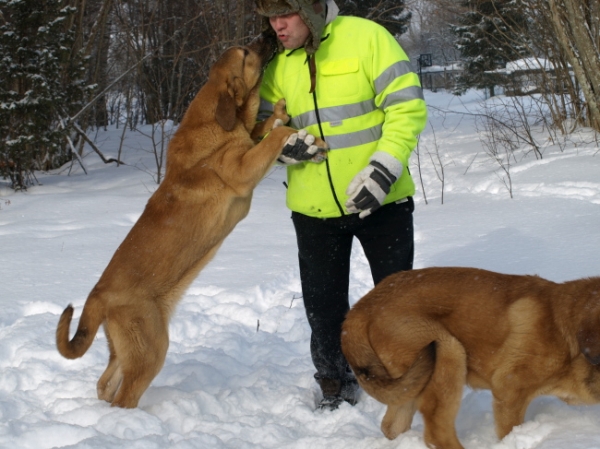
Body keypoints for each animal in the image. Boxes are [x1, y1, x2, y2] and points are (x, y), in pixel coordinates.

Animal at [55, 33, 328, 408]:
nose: (269, 34)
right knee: (123, 396)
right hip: (151, 350)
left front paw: (283, 121)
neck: (218, 120)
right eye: (246, 53)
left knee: (105, 384)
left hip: (127, 350)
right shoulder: (242, 170)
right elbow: (269, 138)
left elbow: (262, 128)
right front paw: (285, 129)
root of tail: (98, 296)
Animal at [340, 266, 600, 448]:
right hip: (449, 351)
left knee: (392, 426)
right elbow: (509, 431)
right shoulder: (510, 388)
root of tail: (362, 307)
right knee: (437, 432)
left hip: (409, 384)